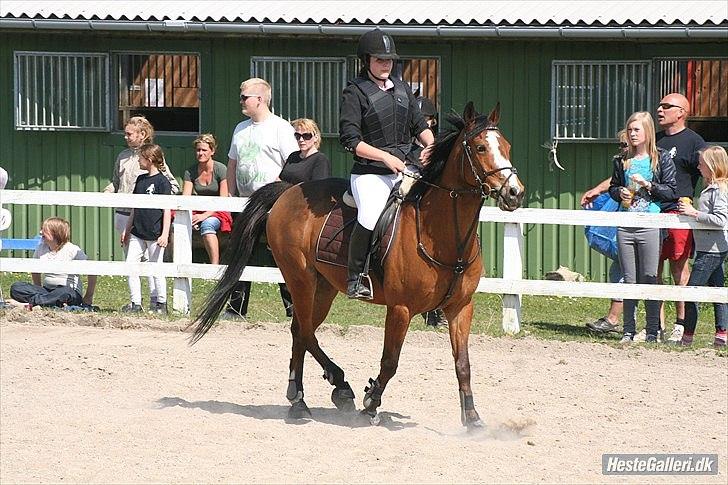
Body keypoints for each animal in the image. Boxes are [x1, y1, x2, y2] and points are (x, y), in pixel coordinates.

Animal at [192, 101, 524, 428]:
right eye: (480, 147)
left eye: (507, 146)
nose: (515, 193)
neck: (442, 234)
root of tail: (289, 190)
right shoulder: (401, 308)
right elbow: (390, 362)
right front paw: (371, 403)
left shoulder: (460, 307)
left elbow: (463, 364)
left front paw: (472, 418)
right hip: (300, 279)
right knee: (304, 332)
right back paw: (327, 392)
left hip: (324, 288)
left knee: (302, 331)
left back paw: (307, 397)